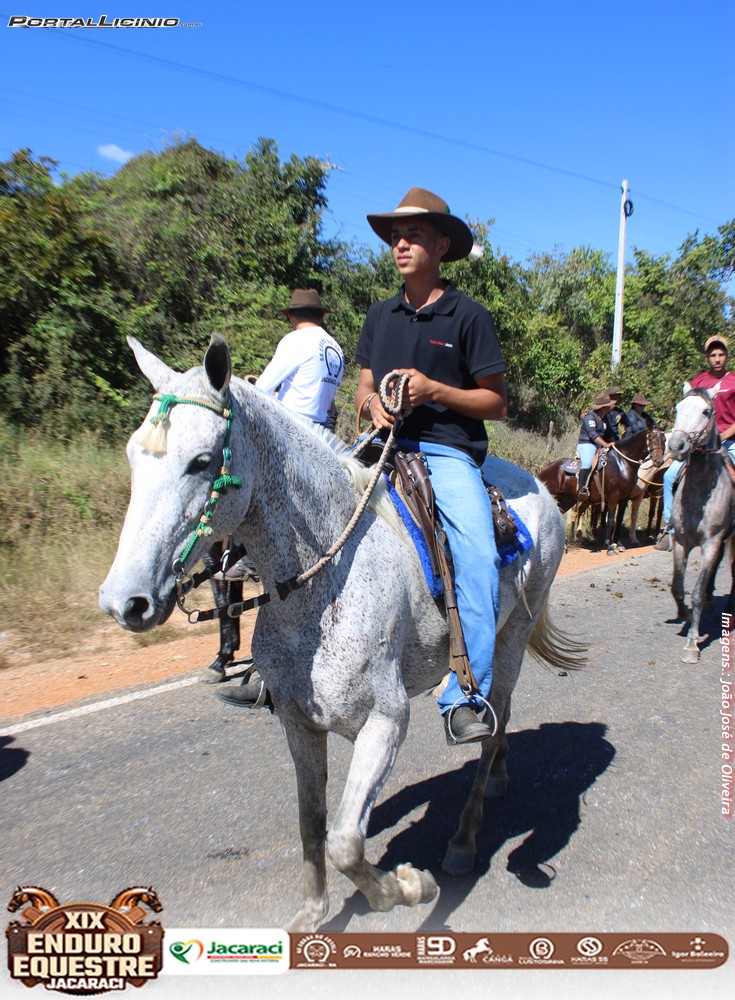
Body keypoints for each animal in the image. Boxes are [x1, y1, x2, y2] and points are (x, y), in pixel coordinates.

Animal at [100, 335, 584, 932]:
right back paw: (496, 777)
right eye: (133, 456)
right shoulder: (299, 724)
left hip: (513, 633)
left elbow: (346, 842)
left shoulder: (385, 722)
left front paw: (409, 886)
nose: (124, 600)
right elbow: (312, 824)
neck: (325, 580)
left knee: (496, 716)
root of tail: (540, 488)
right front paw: (311, 915)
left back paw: (465, 837)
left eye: (202, 462)